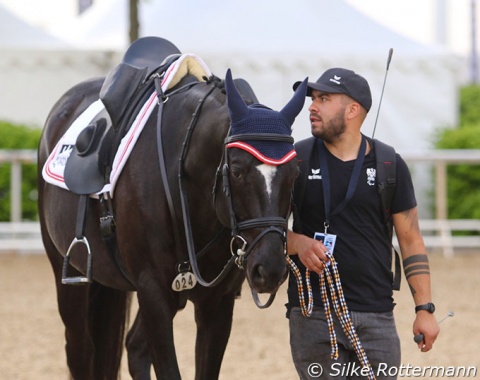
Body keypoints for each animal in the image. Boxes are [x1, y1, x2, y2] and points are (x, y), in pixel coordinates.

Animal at [37, 36, 308, 380]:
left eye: (295, 173)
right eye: (235, 169)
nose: (269, 269)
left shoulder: (216, 303)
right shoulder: (153, 294)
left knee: (133, 346)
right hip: (70, 273)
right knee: (81, 351)